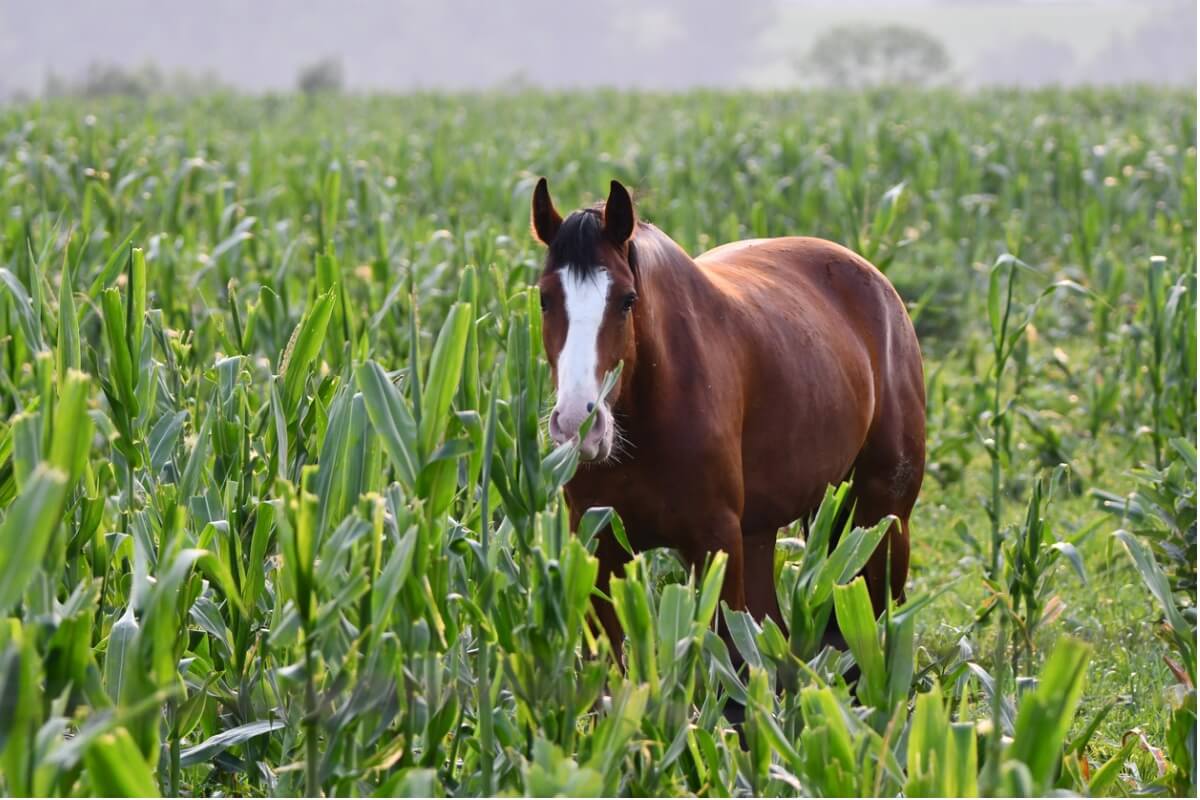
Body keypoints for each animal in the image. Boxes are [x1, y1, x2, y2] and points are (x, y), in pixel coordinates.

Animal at [530, 178, 925, 660]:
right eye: (546, 299)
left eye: (626, 300)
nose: (578, 425)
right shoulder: (599, 548)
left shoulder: (716, 543)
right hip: (766, 533)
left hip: (884, 518)